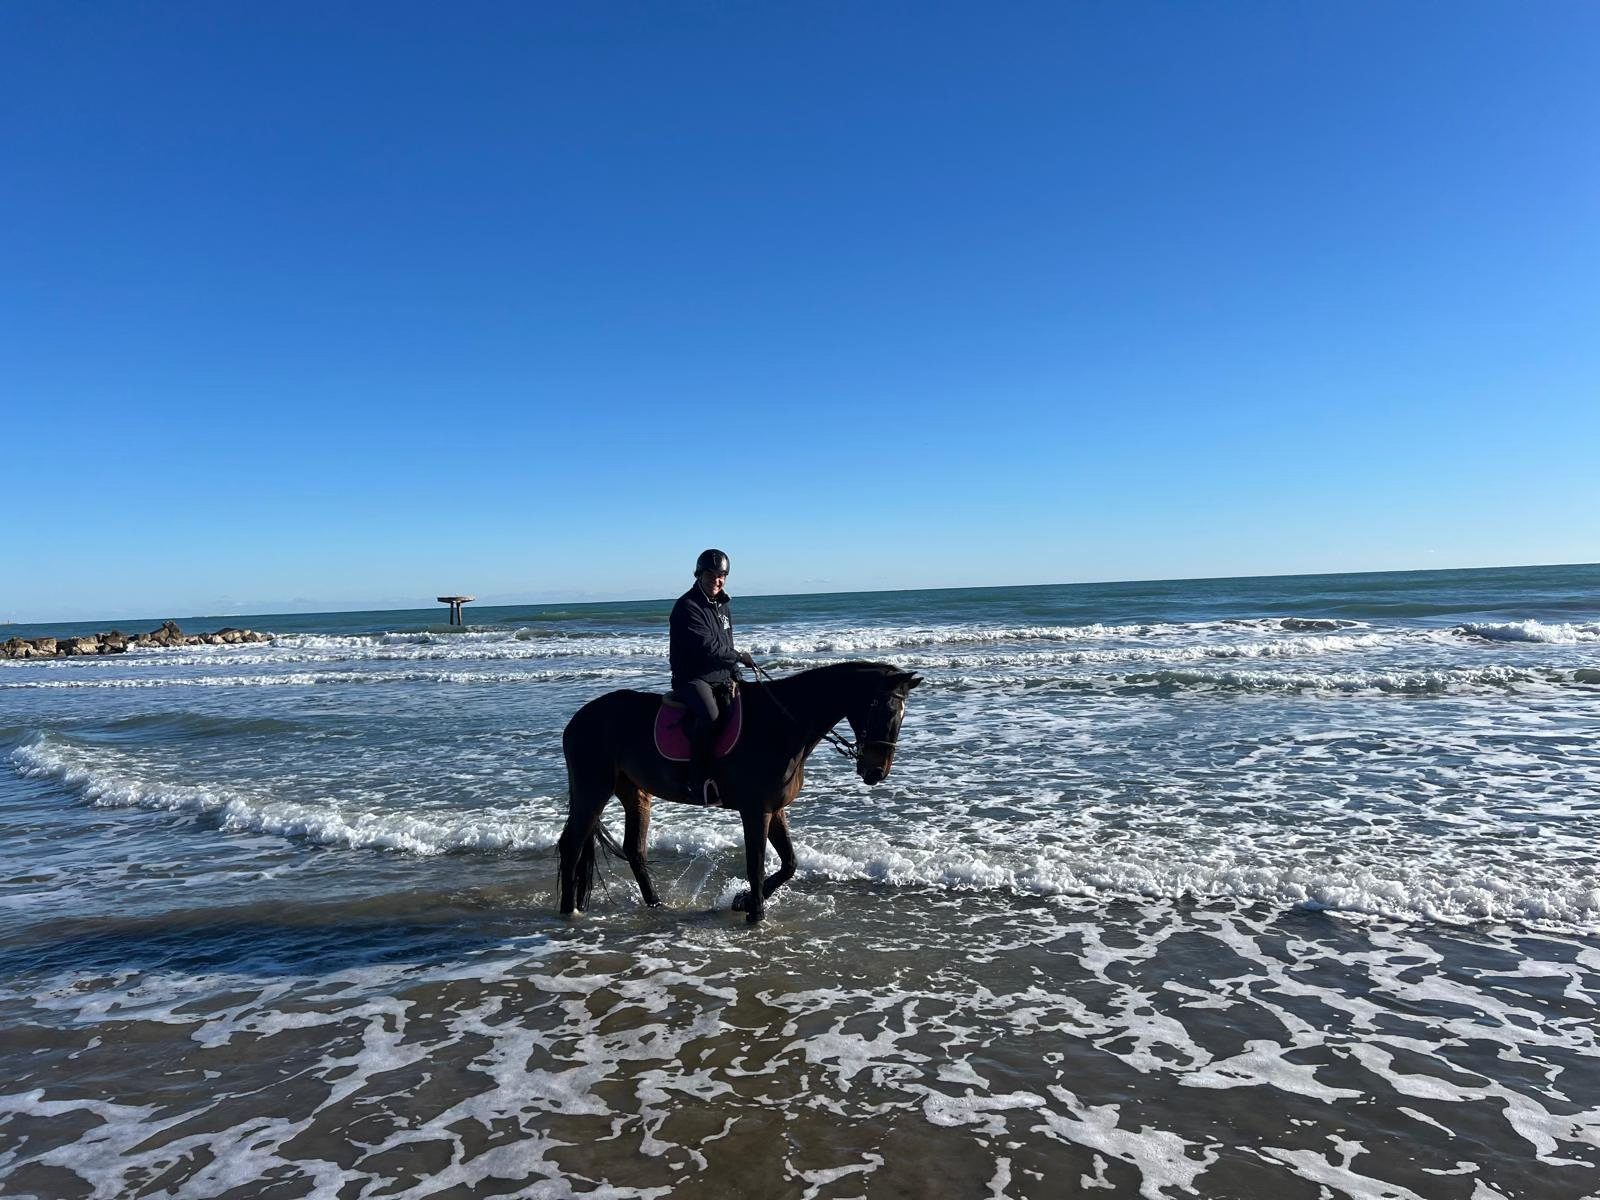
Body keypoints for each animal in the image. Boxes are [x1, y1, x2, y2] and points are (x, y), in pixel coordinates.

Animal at [557, 661, 923, 924]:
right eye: (887, 710)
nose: (876, 772)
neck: (782, 724)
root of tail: (577, 719)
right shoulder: (755, 810)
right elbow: (756, 861)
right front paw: (755, 913)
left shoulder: (775, 808)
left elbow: (790, 863)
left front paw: (742, 900)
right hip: (593, 789)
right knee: (572, 845)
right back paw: (568, 911)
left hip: (635, 794)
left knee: (634, 850)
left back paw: (655, 904)